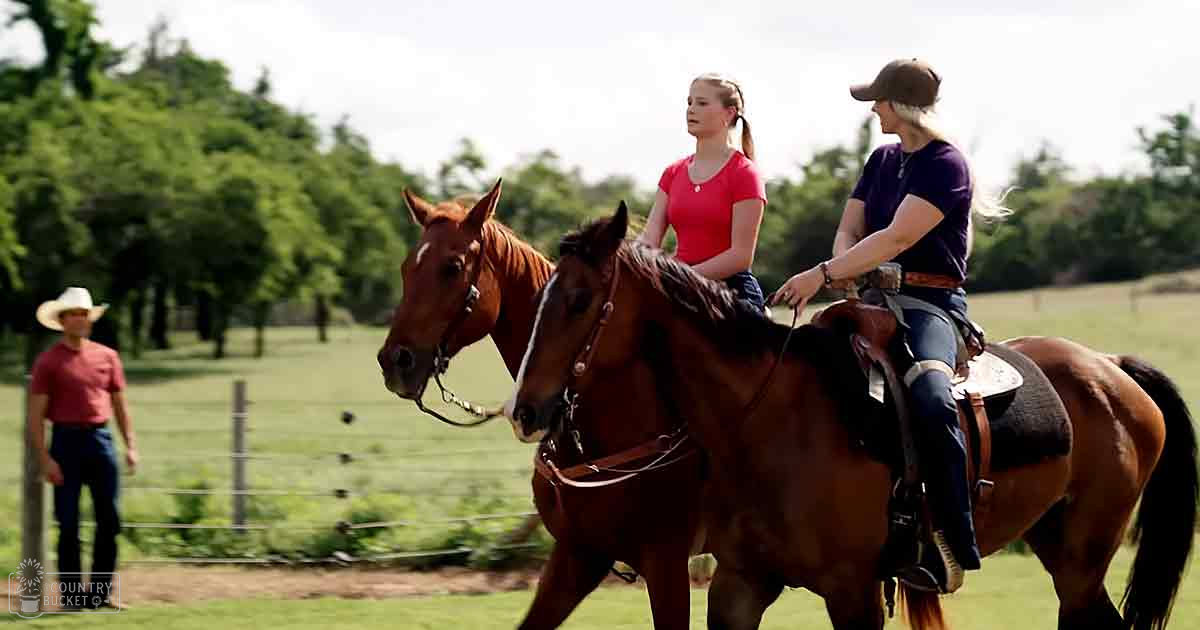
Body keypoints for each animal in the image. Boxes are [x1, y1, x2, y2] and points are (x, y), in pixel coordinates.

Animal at [504, 202, 1197, 630]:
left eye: (577, 299)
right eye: (540, 296)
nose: (525, 409)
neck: (765, 419)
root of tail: (1111, 367)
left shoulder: (850, 590)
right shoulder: (736, 584)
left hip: (1082, 557)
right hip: (1063, 550)